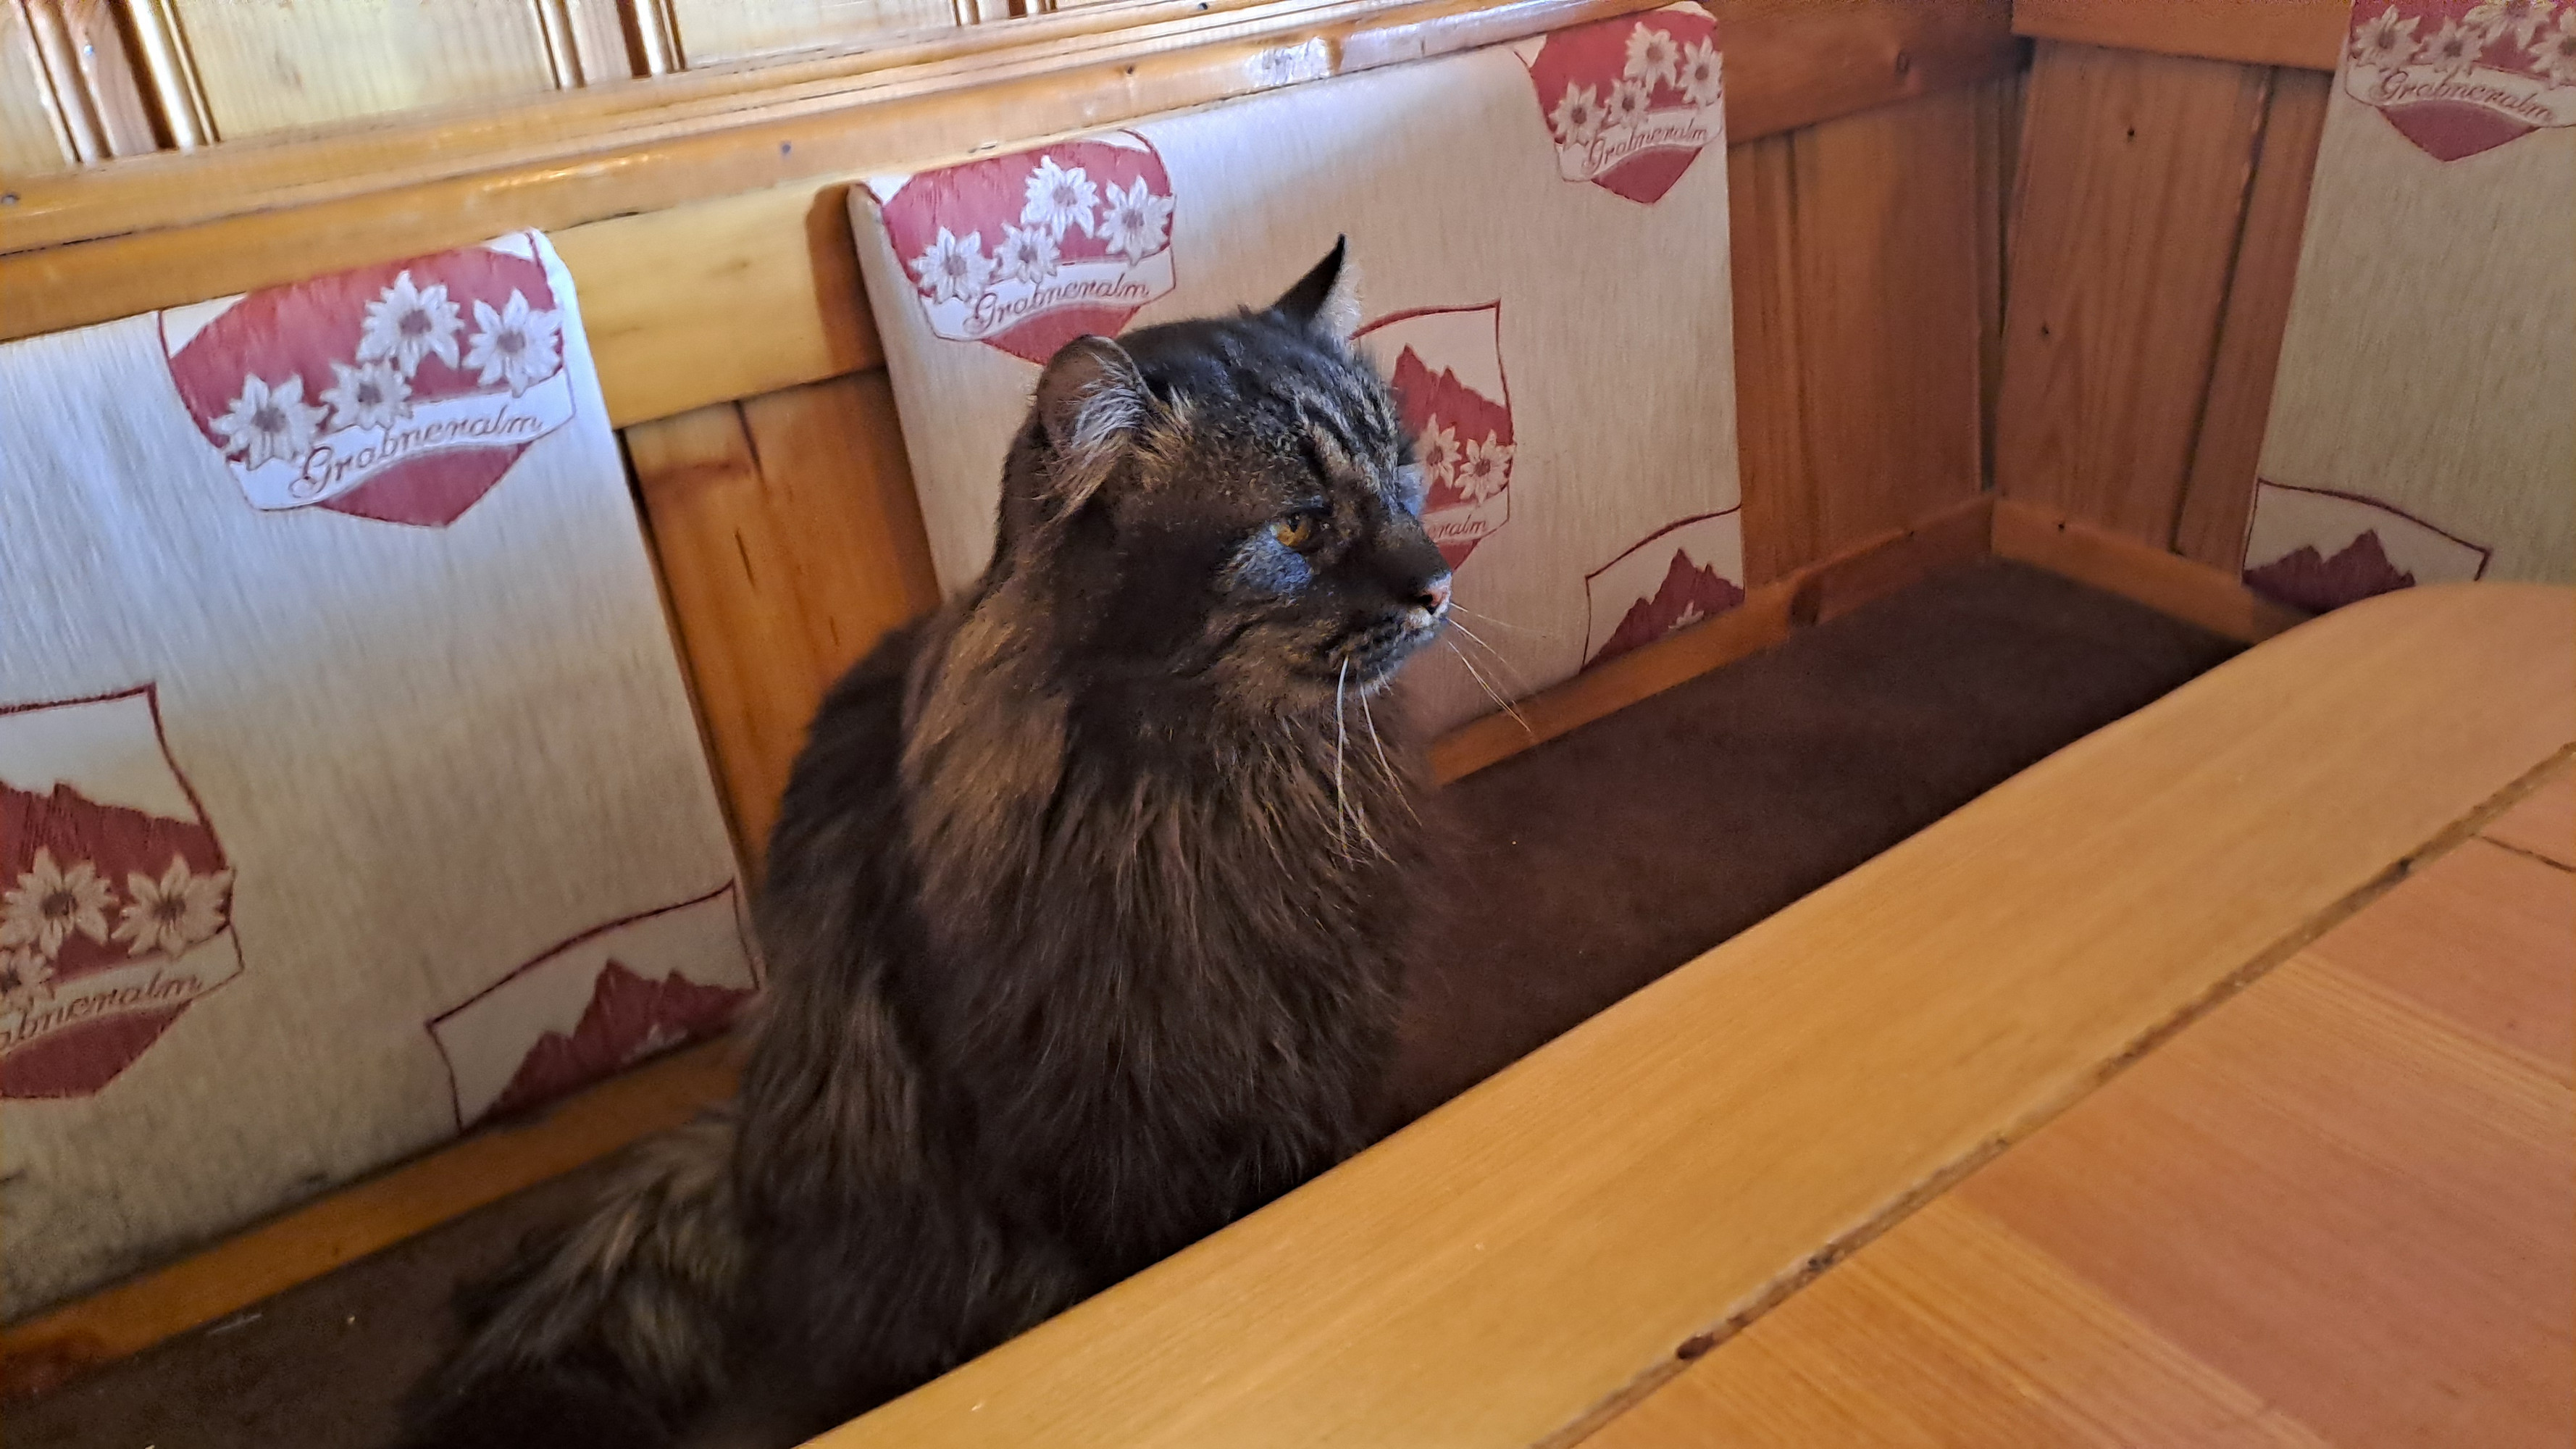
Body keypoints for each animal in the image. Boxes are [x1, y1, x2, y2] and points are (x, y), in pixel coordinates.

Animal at [402, 240, 1454, 1449]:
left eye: (1402, 475)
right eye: (1296, 528)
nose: (1438, 581)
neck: (1227, 790)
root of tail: (747, 1149)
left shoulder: (1317, 1045)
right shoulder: (1093, 1127)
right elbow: (1139, 1249)